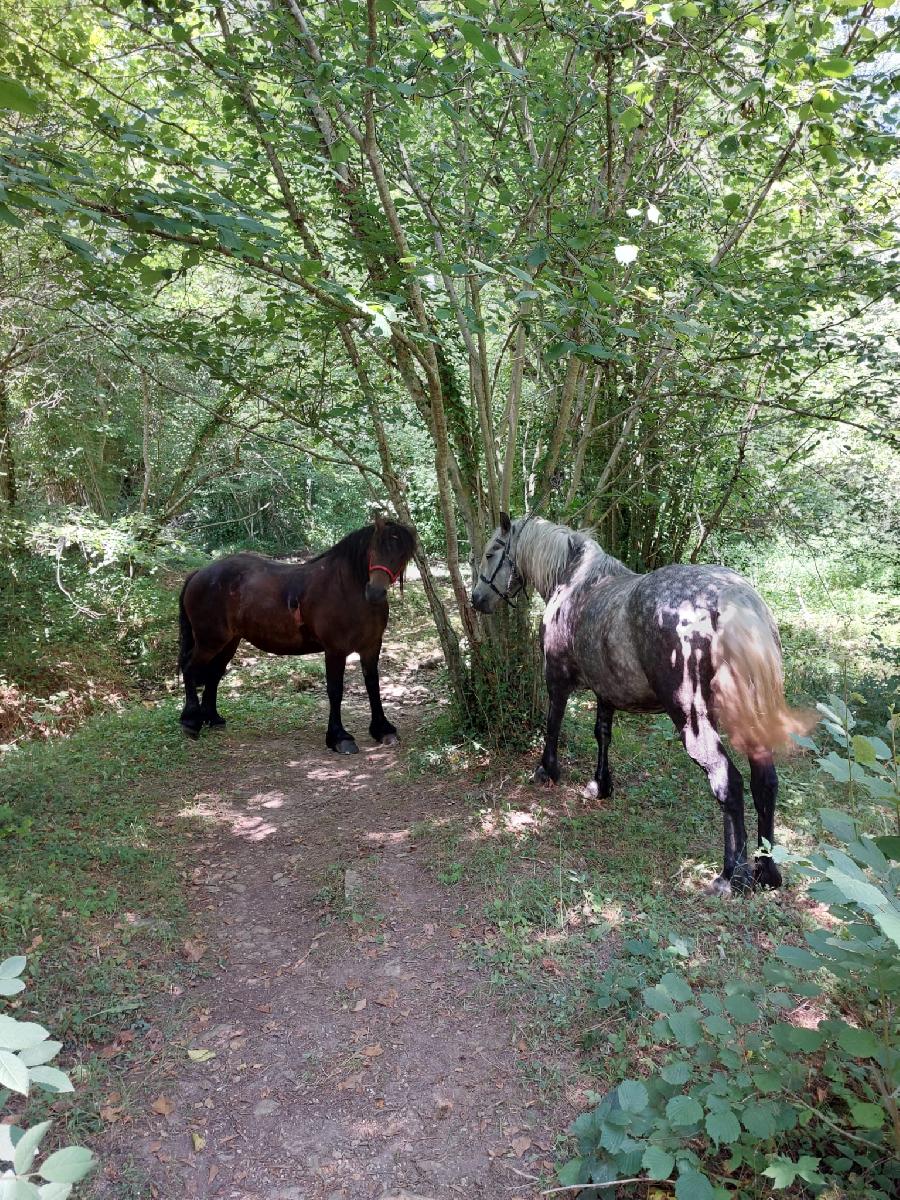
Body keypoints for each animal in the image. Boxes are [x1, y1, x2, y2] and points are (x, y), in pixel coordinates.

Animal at [180, 516, 420, 748]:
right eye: (374, 549)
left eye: (402, 555)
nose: (375, 592)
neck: (345, 589)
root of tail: (199, 573)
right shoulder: (335, 650)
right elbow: (335, 690)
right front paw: (339, 737)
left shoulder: (371, 646)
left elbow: (373, 685)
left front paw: (383, 729)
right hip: (209, 641)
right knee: (190, 669)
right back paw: (190, 722)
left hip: (229, 642)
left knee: (214, 674)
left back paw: (213, 719)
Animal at [472, 511, 816, 897]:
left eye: (491, 553)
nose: (476, 598)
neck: (576, 581)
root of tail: (732, 601)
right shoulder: (606, 691)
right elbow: (602, 734)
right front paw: (600, 785)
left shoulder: (556, 680)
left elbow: (553, 724)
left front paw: (547, 771)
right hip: (752, 719)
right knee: (765, 781)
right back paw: (766, 872)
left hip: (693, 722)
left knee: (728, 783)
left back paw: (731, 877)